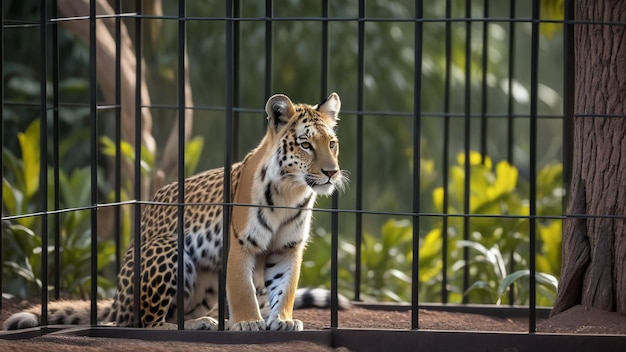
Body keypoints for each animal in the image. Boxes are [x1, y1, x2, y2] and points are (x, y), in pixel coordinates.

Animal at [3, 92, 346, 332]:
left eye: (332, 143)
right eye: (305, 144)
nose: (331, 172)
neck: (291, 191)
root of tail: (117, 300)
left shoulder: (288, 248)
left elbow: (285, 288)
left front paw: (283, 320)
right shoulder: (240, 244)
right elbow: (242, 290)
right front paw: (248, 321)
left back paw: (208, 321)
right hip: (169, 247)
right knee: (140, 322)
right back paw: (194, 324)